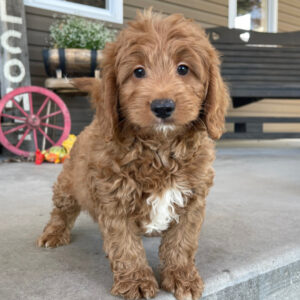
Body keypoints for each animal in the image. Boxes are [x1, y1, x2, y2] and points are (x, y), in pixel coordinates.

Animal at [37, 9, 230, 300]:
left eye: (183, 68)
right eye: (138, 72)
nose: (163, 106)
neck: (160, 148)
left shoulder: (192, 199)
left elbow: (181, 242)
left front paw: (181, 277)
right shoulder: (113, 199)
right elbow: (126, 246)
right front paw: (137, 281)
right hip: (68, 185)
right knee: (62, 210)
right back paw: (54, 234)